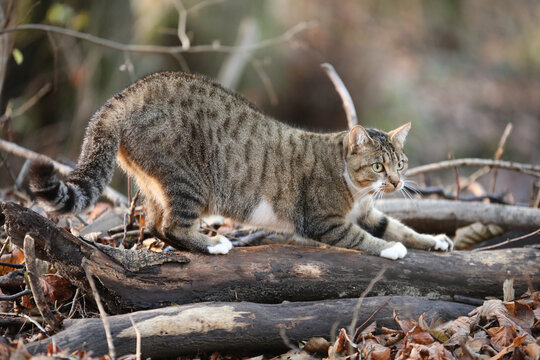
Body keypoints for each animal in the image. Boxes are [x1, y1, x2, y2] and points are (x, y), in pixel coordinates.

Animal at [29, 72, 452, 258]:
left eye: (401, 164)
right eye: (379, 167)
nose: (396, 183)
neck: (356, 189)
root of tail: (123, 97)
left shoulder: (367, 211)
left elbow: (396, 226)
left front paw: (433, 240)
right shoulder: (322, 219)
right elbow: (362, 237)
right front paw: (390, 249)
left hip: (153, 181)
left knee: (153, 223)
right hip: (187, 178)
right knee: (169, 225)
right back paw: (214, 244)